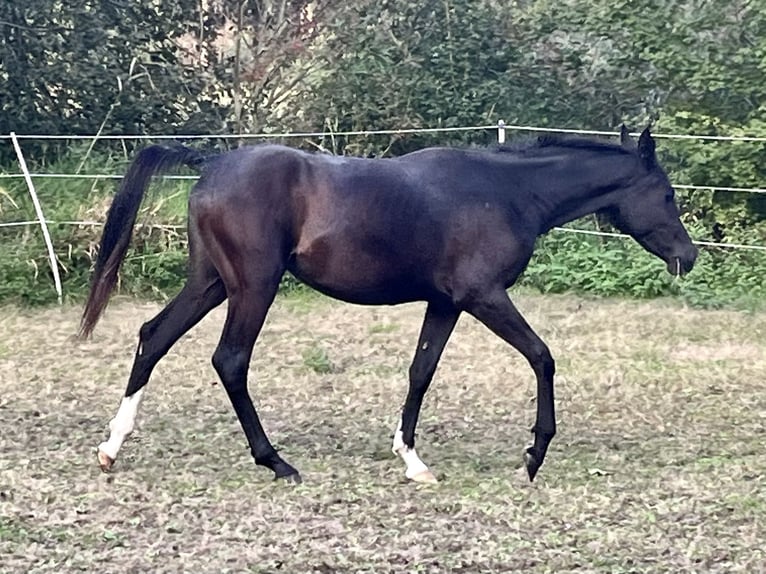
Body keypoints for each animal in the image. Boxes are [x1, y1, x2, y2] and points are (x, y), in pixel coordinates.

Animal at [80, 125, 697, 485]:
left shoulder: (446, 303)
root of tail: (211, 164)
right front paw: (535, 454)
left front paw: (413, 460)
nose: (688, 256)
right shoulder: (484, 296)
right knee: (230, 360)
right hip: (253, 286)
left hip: (212, 284)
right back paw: (275, 461)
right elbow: (543, 357)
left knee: (153, 336)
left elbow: (421, 372)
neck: (505, 192)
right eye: (667, 194)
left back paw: (111, 448)